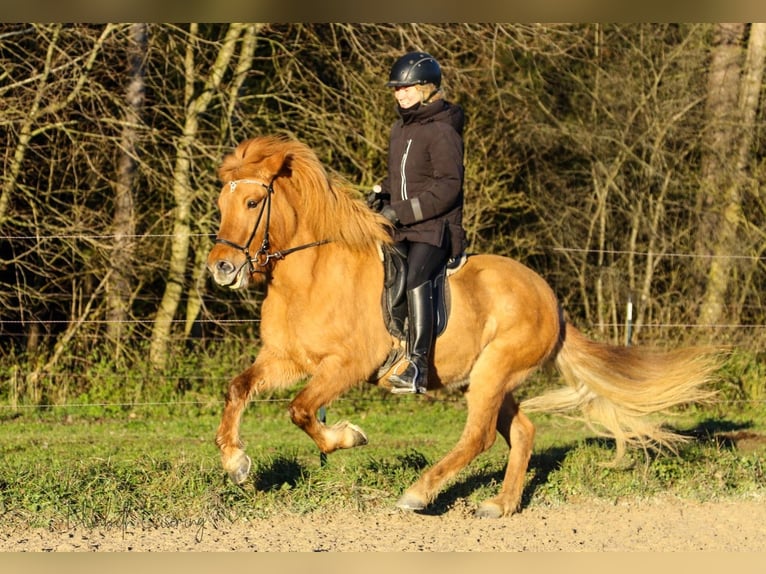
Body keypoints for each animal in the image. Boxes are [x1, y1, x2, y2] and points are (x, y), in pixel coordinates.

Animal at [207, 136, 724, 520]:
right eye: (220, 203)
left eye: (252, 201)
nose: (221, 269)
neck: (312, 274)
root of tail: (551, 299)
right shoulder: (287, 359)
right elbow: (238, 389)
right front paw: (236, 464)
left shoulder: (347, 365)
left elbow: (299, 409)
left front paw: (347, 437)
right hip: (494, 378)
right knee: (523, 431)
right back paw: (501, 504)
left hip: (494, 373)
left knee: (478, 436)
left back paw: (419, 493)